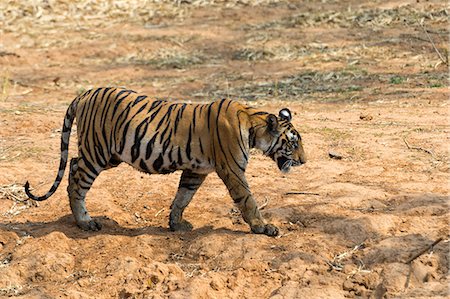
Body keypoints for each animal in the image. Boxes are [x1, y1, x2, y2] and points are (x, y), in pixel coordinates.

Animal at [24, 86, 306, 237]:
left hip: (108, 155)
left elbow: (183, 197)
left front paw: (176, 224)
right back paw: (85, 222)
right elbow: (248, 201)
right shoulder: (233, 170)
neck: (253, 123)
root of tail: (85, 93)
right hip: (97, 152)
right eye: (293, 144)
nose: (304, 161)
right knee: (76, 179)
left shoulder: (196, 171)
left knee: (72, 164)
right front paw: (263, 228)